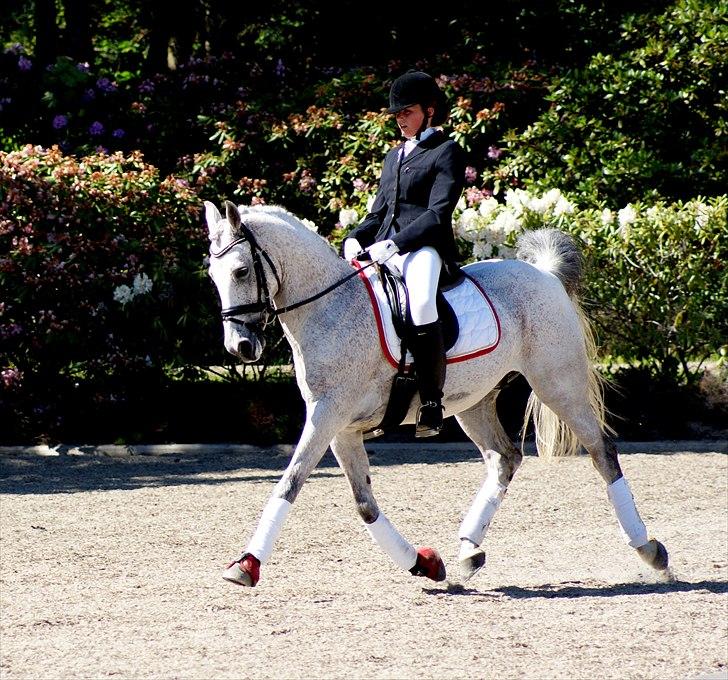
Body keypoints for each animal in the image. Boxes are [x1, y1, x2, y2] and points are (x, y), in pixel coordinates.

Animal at [204, 199, 669, 587]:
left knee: (602, 451)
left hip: (559, 384)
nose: (240, 347)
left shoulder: (327, 415)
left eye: (241, 271)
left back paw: (649, 550)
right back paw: (468, 550)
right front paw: (424, 563)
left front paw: (246, 565)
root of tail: (545, 275)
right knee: (505, 459)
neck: (330, 308)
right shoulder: (341, 428)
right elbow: (364, 504)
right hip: (473, 402)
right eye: (213, 276)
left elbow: (290, 483)